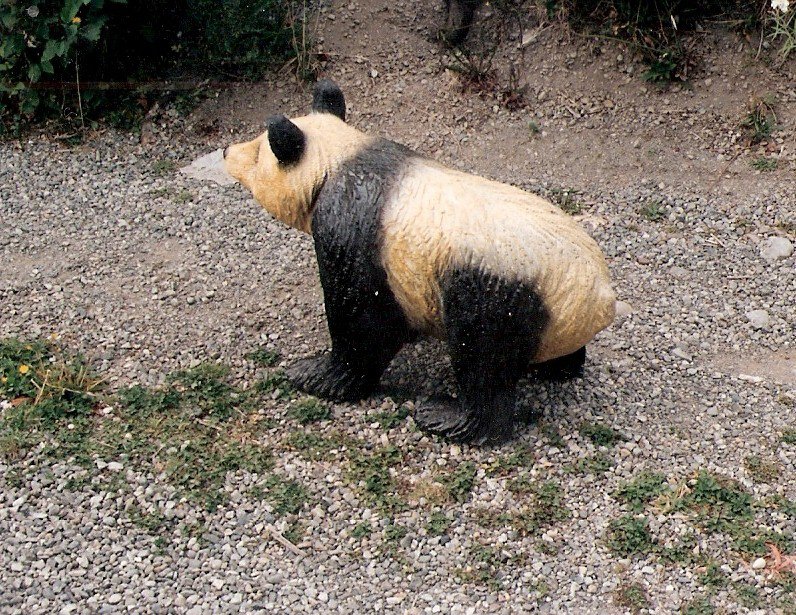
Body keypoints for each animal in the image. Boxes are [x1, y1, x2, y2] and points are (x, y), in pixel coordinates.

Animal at [223, 80, 615, 444]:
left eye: (259, 150)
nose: (227, 150)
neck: (339, 159)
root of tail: (597, 297)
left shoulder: (353, 228)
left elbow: (361, 318)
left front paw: (315, 374)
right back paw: (553, 368)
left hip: (499, 293)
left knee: (482, 359)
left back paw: (447, 416)